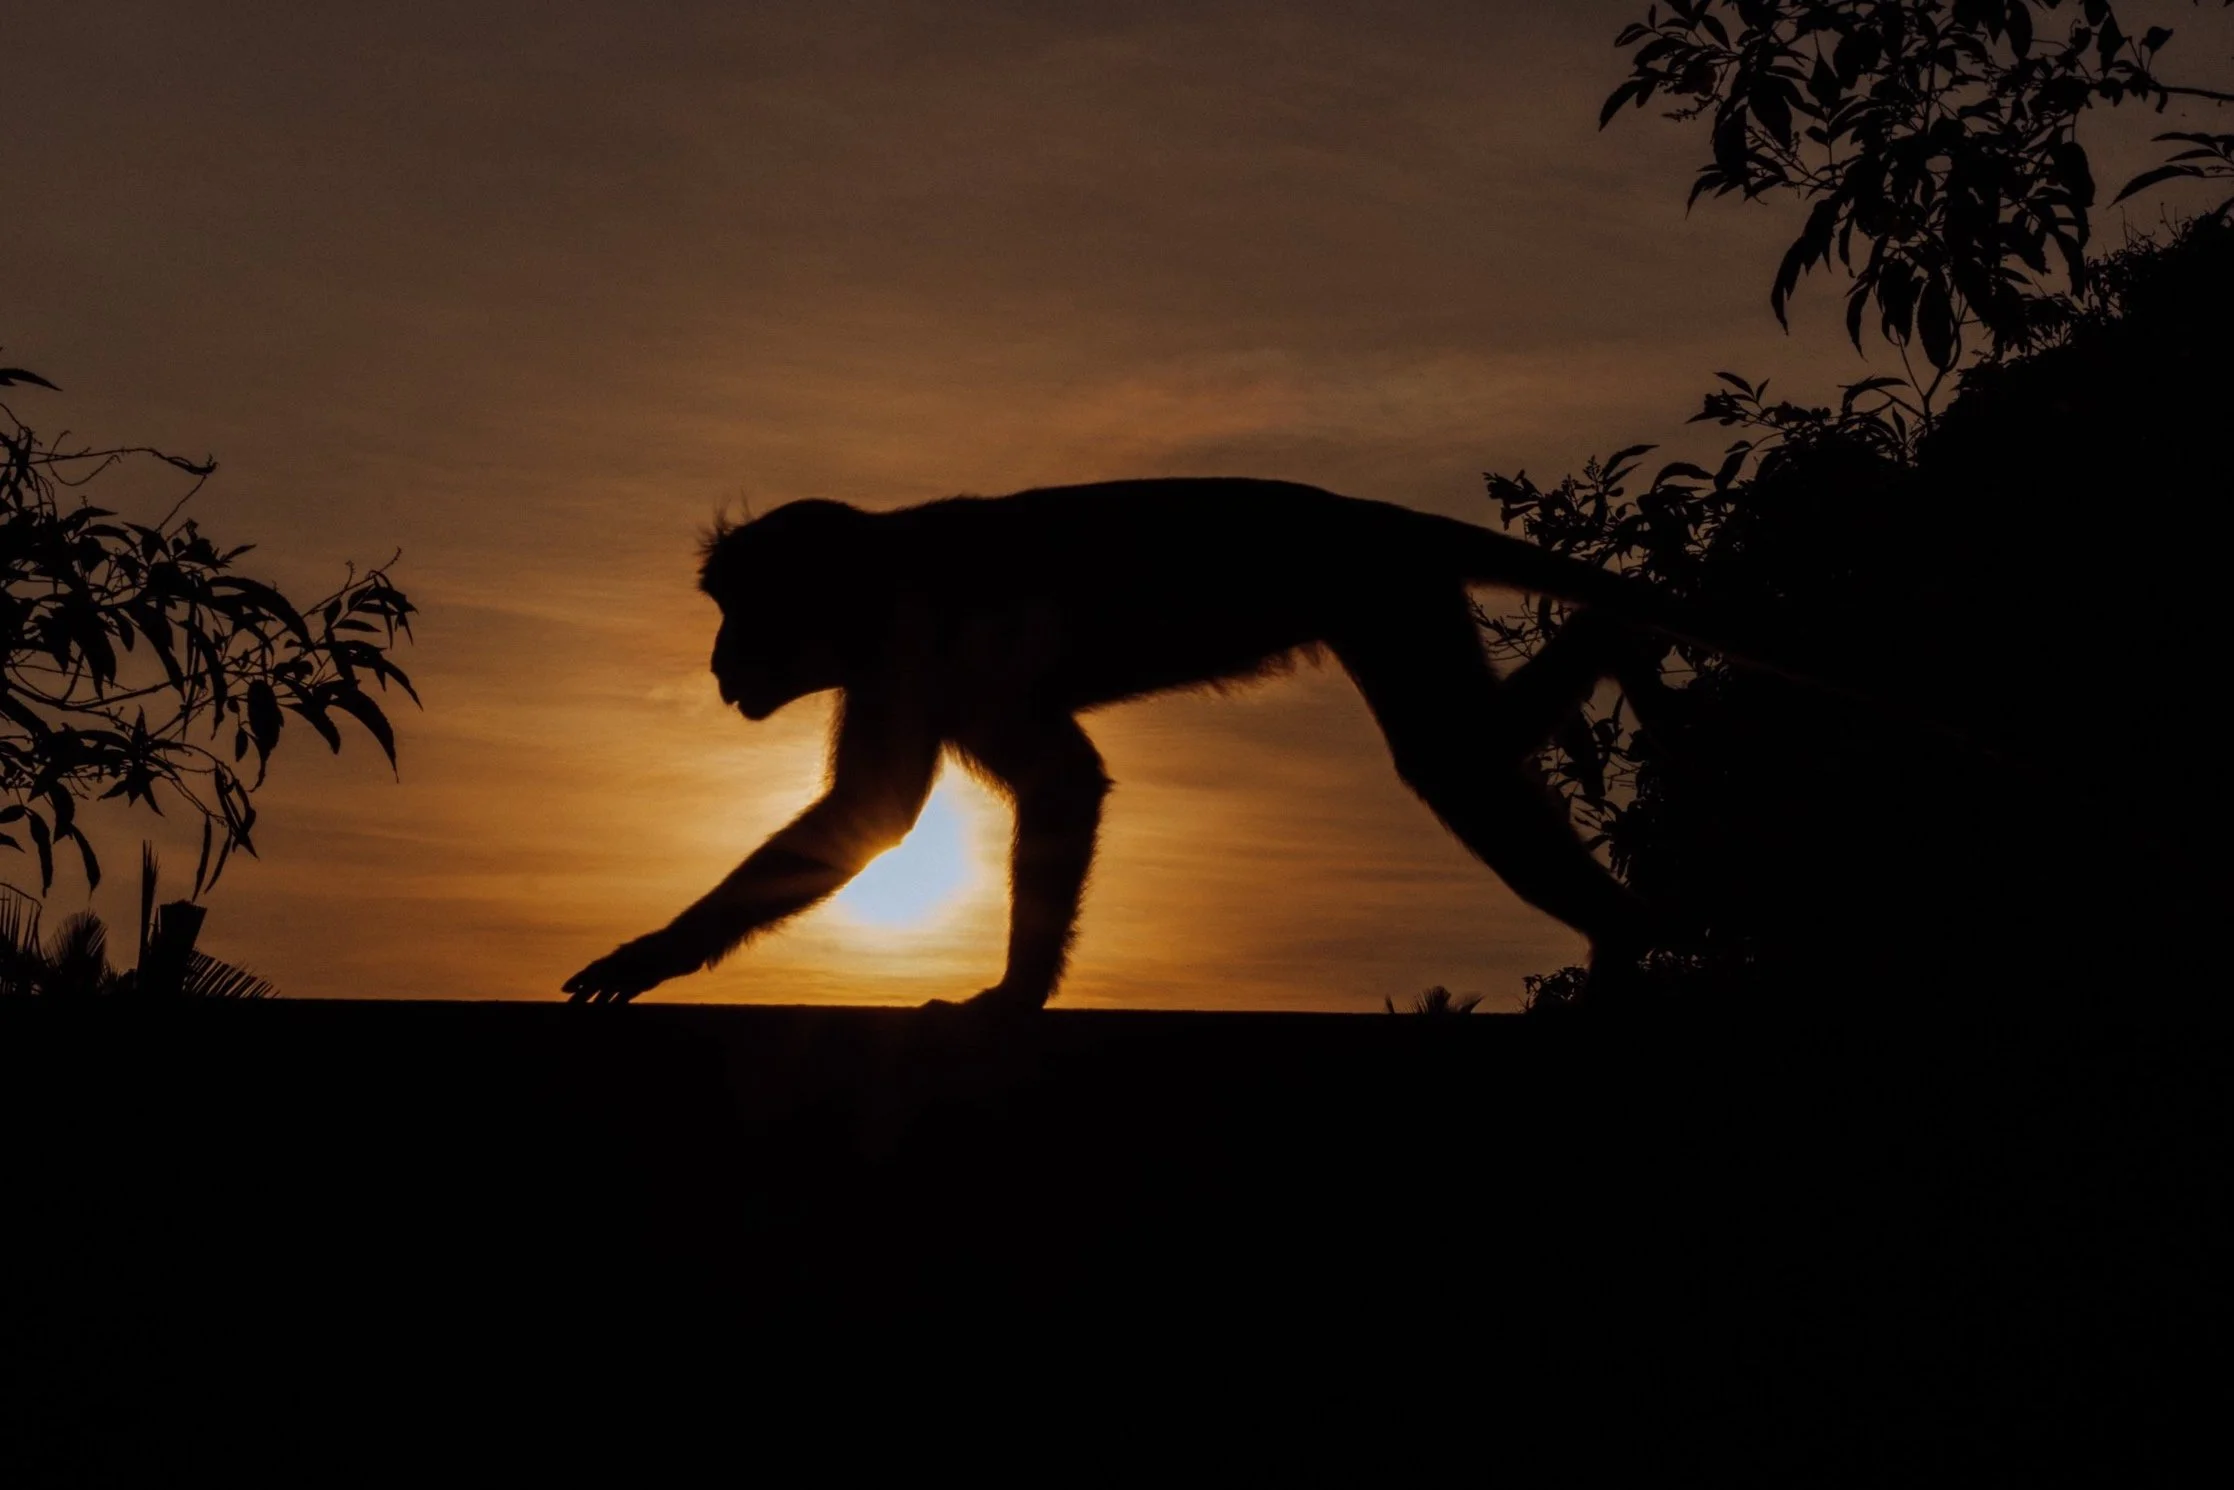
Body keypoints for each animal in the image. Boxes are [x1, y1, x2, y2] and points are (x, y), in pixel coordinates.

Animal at [562, 477, 1715, 1010]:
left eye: (738, 615)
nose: (717, 659)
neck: (882, 576)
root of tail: (1368, 512)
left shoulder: (929, 643)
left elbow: (1051, 783)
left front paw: (1014, 998)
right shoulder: (908, 669)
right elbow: (881, 814)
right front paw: (656, 952)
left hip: (1378, 584)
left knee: (1450, 759)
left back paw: (1619, 926)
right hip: (1388, 596)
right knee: (1458, 746)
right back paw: (1613, 651)